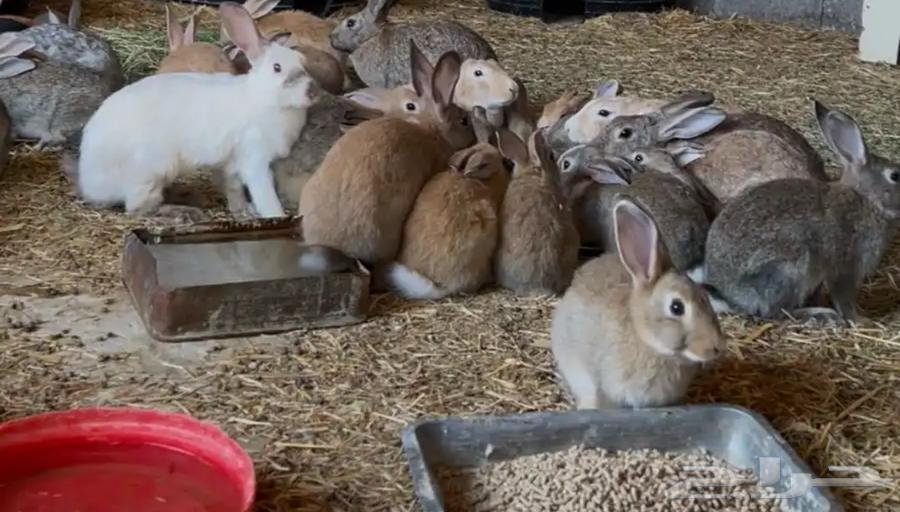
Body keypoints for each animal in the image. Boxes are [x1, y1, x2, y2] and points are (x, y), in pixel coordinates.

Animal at [73, 2, 315, 220]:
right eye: (277, 68)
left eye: (303, 63)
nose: (311, 92)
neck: (262, 97)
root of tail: (90, 183)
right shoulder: (254, 160)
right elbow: (265, 196)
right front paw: (276, 215)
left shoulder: (232, 166)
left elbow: (234, 190)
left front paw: (242, 211)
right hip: (151, 172)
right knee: (138, 208)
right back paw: (183, 212)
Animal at [700, 100, 900, 325]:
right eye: (895, 176)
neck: (867, 199)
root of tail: (732, 297)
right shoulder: (845, 267)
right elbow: (843, 298)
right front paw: (860, 319)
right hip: (791, 266)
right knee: (778, 312)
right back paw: (818, 314)